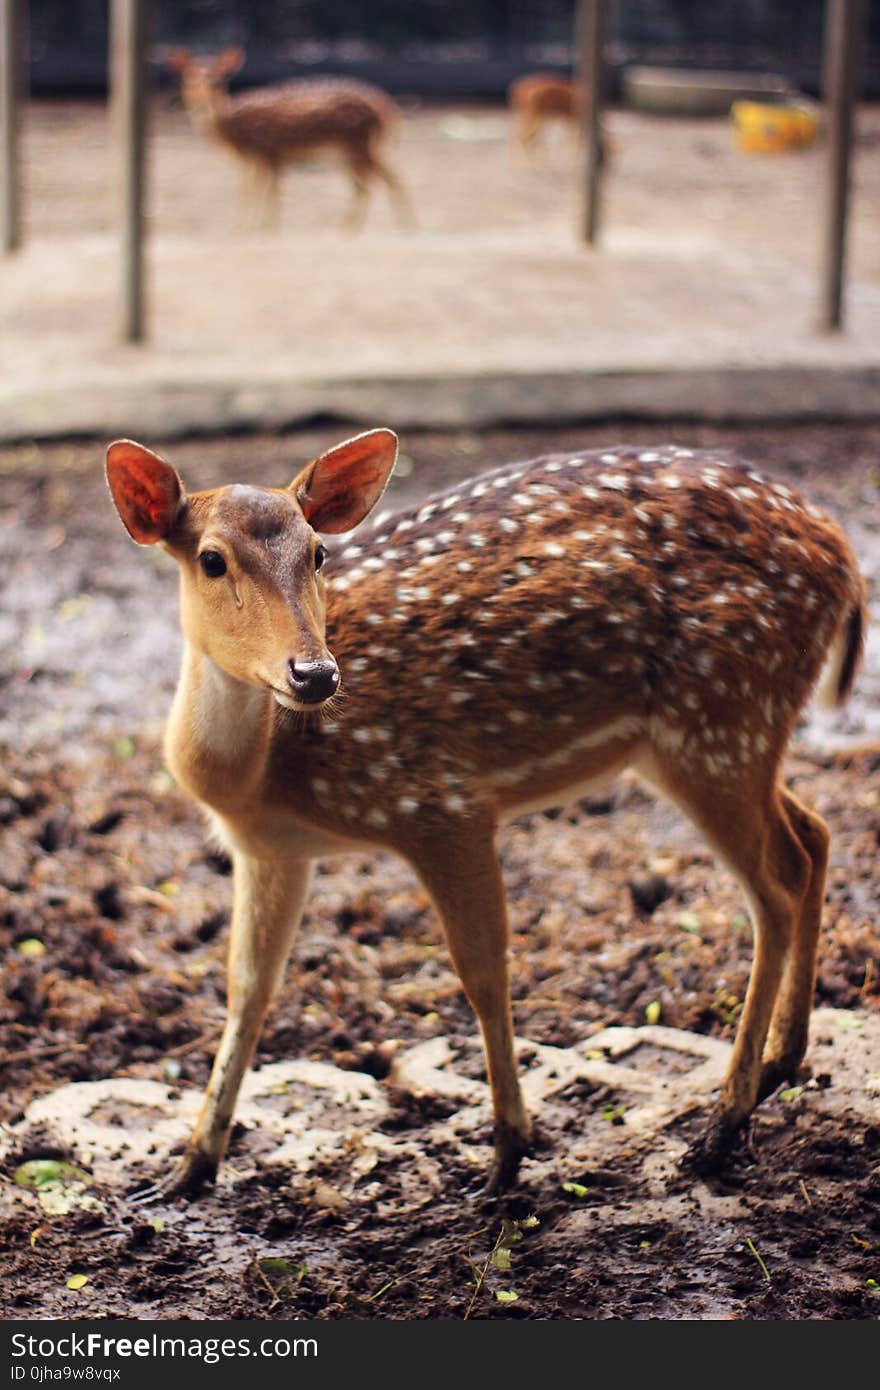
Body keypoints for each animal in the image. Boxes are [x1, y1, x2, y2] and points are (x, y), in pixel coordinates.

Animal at [104, 436, 867, 1206]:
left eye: (318, 552)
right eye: (211, 559)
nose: (314, 674)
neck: (262, 775)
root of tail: (843, 555)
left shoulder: (440, 803)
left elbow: (482, 969)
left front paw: (507, 1155)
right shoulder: (272, 851)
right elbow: (247, 990)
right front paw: (186, 1168)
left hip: (720, 716)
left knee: (777, 883)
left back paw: (723, 1123)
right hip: (716, 737)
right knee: (814, 836)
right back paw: (780, 1062)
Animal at [166, 46, 414, 230]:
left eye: (219, 80)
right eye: (189, 79)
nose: (202, 102)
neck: (234, 132)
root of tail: (386, 109)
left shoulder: (268, 152)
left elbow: (268, 195)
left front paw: (263, 232)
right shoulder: (255, 160)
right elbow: (250, 192)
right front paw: (244, 231)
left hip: (357, 144)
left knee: (381, 181)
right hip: (355, 150)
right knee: (376, 182)